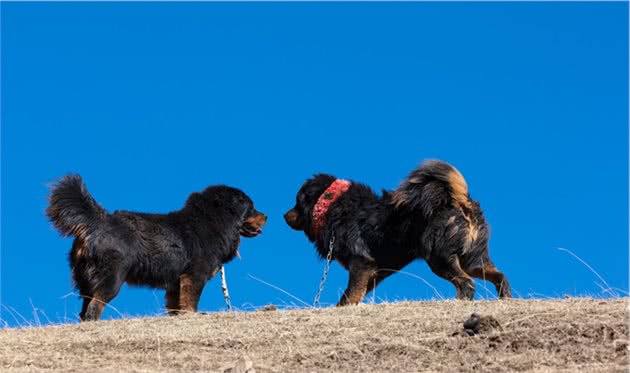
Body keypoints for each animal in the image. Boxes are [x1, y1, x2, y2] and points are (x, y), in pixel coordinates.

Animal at [46, 174, 266, 320]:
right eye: (252, 207)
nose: (267, 216)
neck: (214, 220)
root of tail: (97, 222)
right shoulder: (194, 276)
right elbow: (190, 302)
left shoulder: (175, 284)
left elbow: (176, 308)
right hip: (111, 279)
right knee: (94, 309)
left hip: (87, 282)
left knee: (85, 312)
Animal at [286, 160, 512, 306]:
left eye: (297, 202)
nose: (283, 215)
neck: (333, 205)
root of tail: (460, 201)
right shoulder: (372, 273)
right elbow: (357, 294)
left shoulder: (361, 263)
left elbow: (348, 296)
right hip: (473, 260)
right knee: (499, 276)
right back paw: (505, 298)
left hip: (440, 258)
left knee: (466, 284)